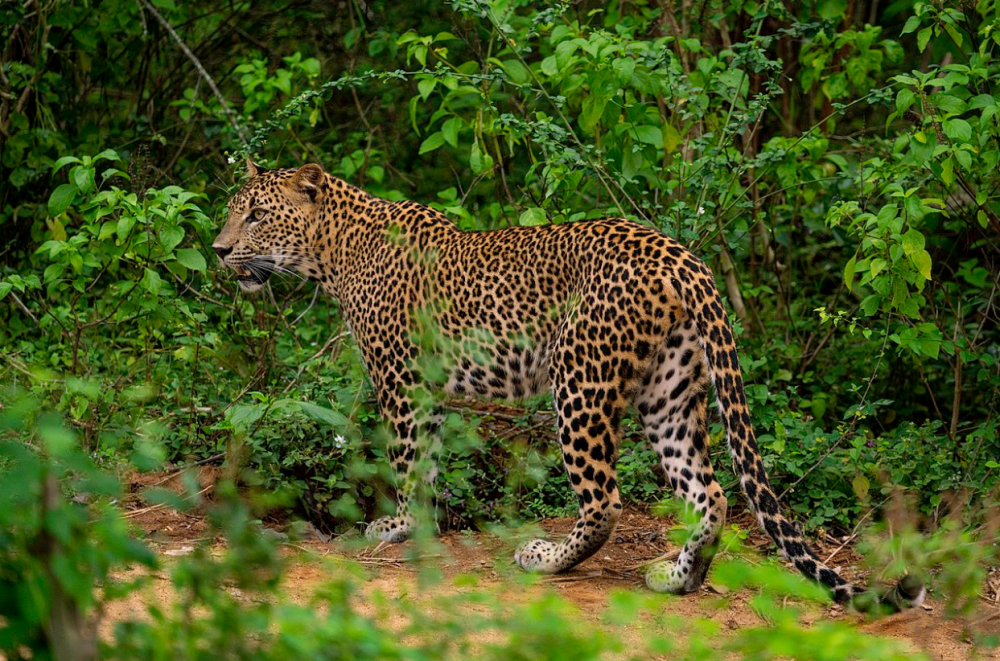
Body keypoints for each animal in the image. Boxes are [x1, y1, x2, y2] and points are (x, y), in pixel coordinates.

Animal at [215, 157, 924, 612]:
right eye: (232, 214)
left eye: (255, 216)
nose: (219, 251)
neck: (332, 251)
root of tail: (684, 258)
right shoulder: (430, 391)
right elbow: (432, 463)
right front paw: (423, 525)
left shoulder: (401, 381)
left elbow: (408, 461)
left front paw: (397, 527)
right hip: (670, 393)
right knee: (712, 492)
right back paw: (678, 578)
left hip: (579, 380)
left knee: (605, 500)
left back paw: (546, 558)